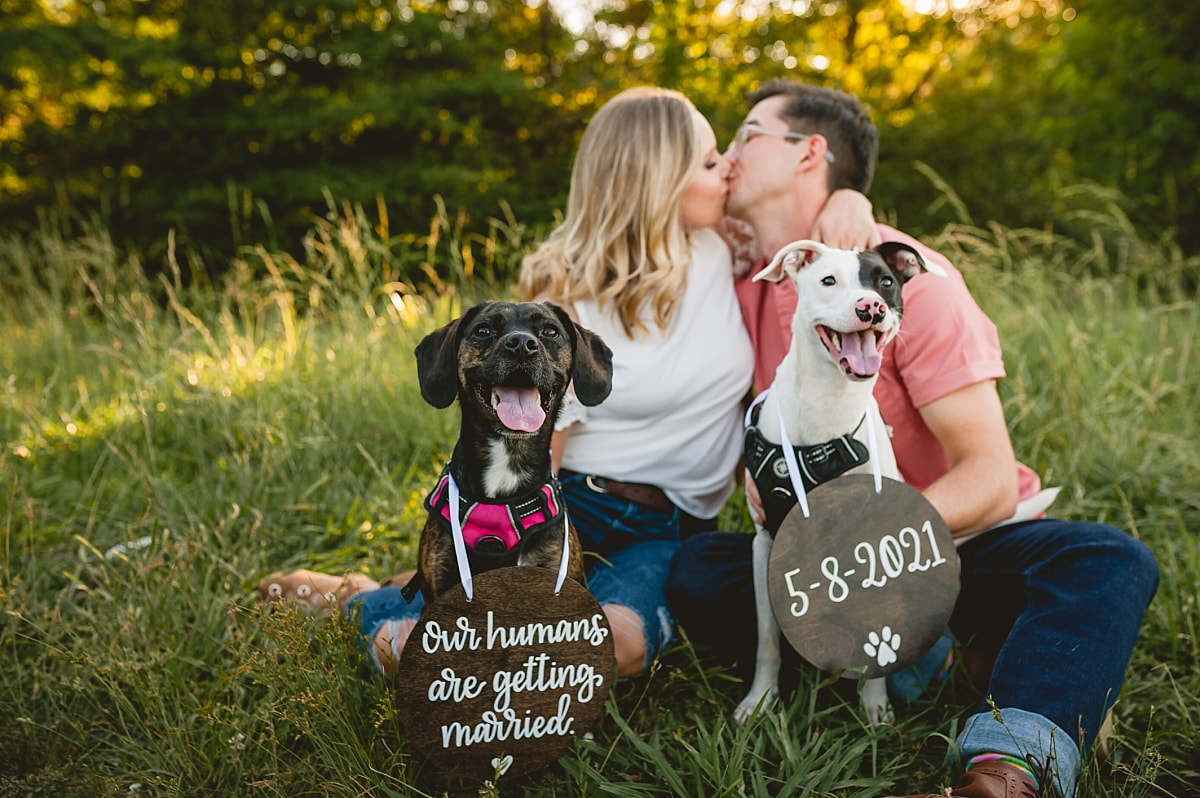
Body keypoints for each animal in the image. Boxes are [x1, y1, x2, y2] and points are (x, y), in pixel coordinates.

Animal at [729, 236, 945, 720]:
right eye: (829, 281)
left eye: (886, 282)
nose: (871, 307)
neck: (829, 405)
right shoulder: (765, 542)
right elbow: (767, 638)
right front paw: (760, 700)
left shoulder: (881, 549)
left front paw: (875, 703)